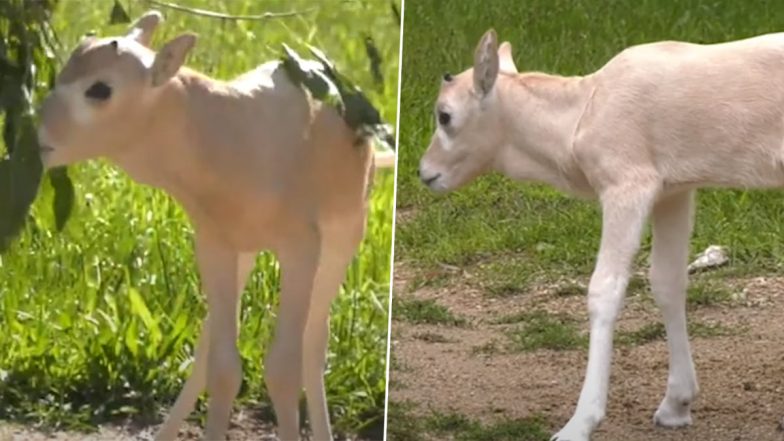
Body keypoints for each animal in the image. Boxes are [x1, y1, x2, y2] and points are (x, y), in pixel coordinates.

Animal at [38, 10, 392, 440]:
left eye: (100, 89)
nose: (39, 137)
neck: (229, 134)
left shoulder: (301, 249)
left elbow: (283, 369)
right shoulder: (215, 246)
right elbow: (223, 368)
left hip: (343, 238)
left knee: (313, 340)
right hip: (245, 253)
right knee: (210, 343)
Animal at [422, 28, 784, 440]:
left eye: (445, 115)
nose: (425, 172)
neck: (583, 111)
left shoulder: (627, 183)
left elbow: (604, 289)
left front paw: (578, 424)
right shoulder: (673, 190)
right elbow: (667, 281)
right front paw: (675, 405)